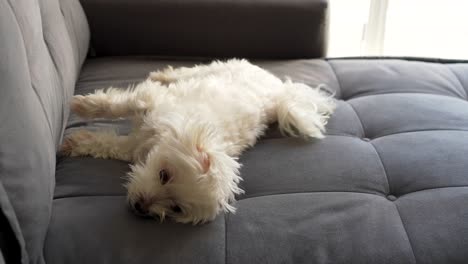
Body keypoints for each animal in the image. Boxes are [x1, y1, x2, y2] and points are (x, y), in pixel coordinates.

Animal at [62, 59, 334, 225]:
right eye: (164, 175)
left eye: (176, 208)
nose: (141, 207)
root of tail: (280, 88)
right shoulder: (150, 101)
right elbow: (117, 105)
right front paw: (82, 106)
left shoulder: (133, 146)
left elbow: (107, 144)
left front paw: (76, 142)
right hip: (218, 69)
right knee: (189, 71)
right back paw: (163, 74)